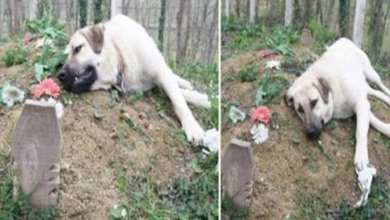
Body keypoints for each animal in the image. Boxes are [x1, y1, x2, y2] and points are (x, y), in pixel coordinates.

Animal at [56, 14, 212, 144]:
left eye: (78, 48)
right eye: (63, 60)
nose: (60, 75)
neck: (121, 58)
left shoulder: (159, 72)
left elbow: (178, 100)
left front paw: (193, 126)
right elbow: (174, 93)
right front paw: (200, 99)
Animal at [284, 37, 390, 205]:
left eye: (314, 102)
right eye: (299, 109)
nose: (310, 133)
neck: (333, 91)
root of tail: (344, 39)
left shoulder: (360, 103)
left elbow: (361, 131)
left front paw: (361, 155)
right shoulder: (363, 105)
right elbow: (374, 123)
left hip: (371, 74)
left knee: (380, 86)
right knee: (374, 91)